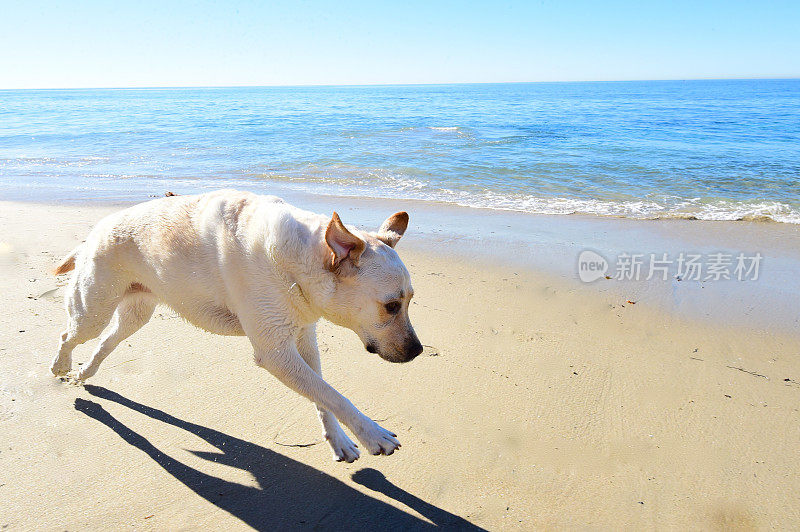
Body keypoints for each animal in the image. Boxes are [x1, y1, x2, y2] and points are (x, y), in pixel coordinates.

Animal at [48, 188, 424, 462]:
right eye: (391, 306)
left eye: (410, 300)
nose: (418, 352)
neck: (297, 263)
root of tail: (95, 231)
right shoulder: (275, 353)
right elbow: (334, 394)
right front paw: (372, 433)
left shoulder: (304, 336)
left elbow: (323, 394)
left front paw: (340, 441)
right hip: (93, 310)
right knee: (68, 334)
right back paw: (61, 365)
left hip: (134, 315)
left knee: (104, 344)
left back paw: (83, 373)